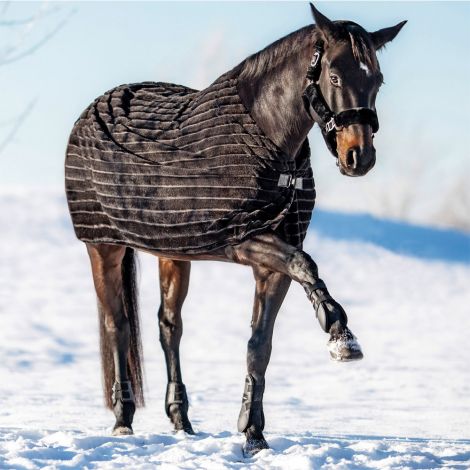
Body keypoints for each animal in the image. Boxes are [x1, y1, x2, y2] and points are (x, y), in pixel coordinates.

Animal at [64, 2, 406, 456]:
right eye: (334, 76)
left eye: (377, 80)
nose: (359, 157)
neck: (269, 140)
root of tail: (93, 108)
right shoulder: (243, 238)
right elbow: (307, 264)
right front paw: (340, 333)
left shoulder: (271, 264)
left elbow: (259, 345)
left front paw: (253, 434)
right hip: (104, 245)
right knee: (116, 324)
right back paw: (123, 421)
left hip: (174, 251)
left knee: (169, 327)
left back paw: (181, 421)